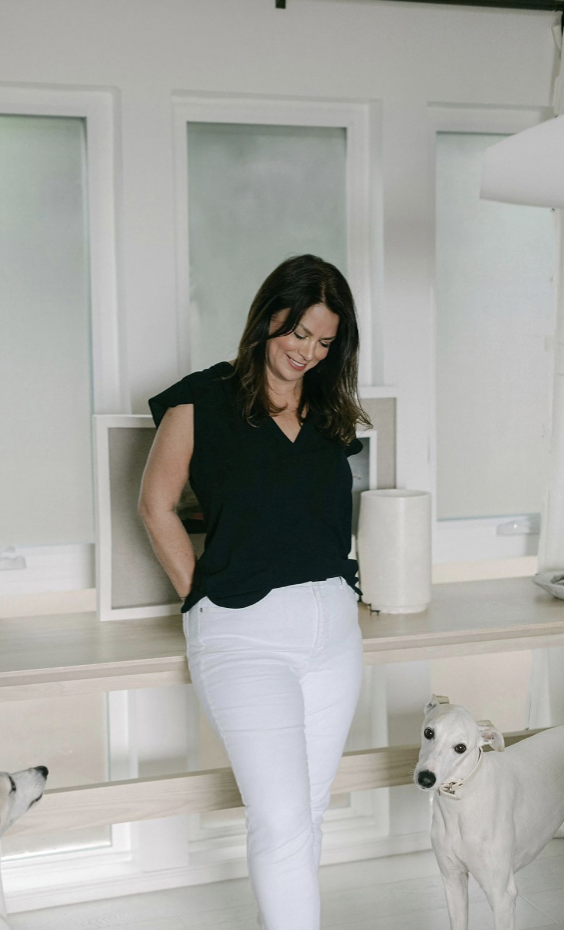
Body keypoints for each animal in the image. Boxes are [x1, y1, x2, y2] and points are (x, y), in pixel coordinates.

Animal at [414, 696, 564, 928]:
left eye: (460, 747)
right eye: (429, 732)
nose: (426, 778)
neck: (461, 805)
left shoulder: (502, 895)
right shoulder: (453, 880)